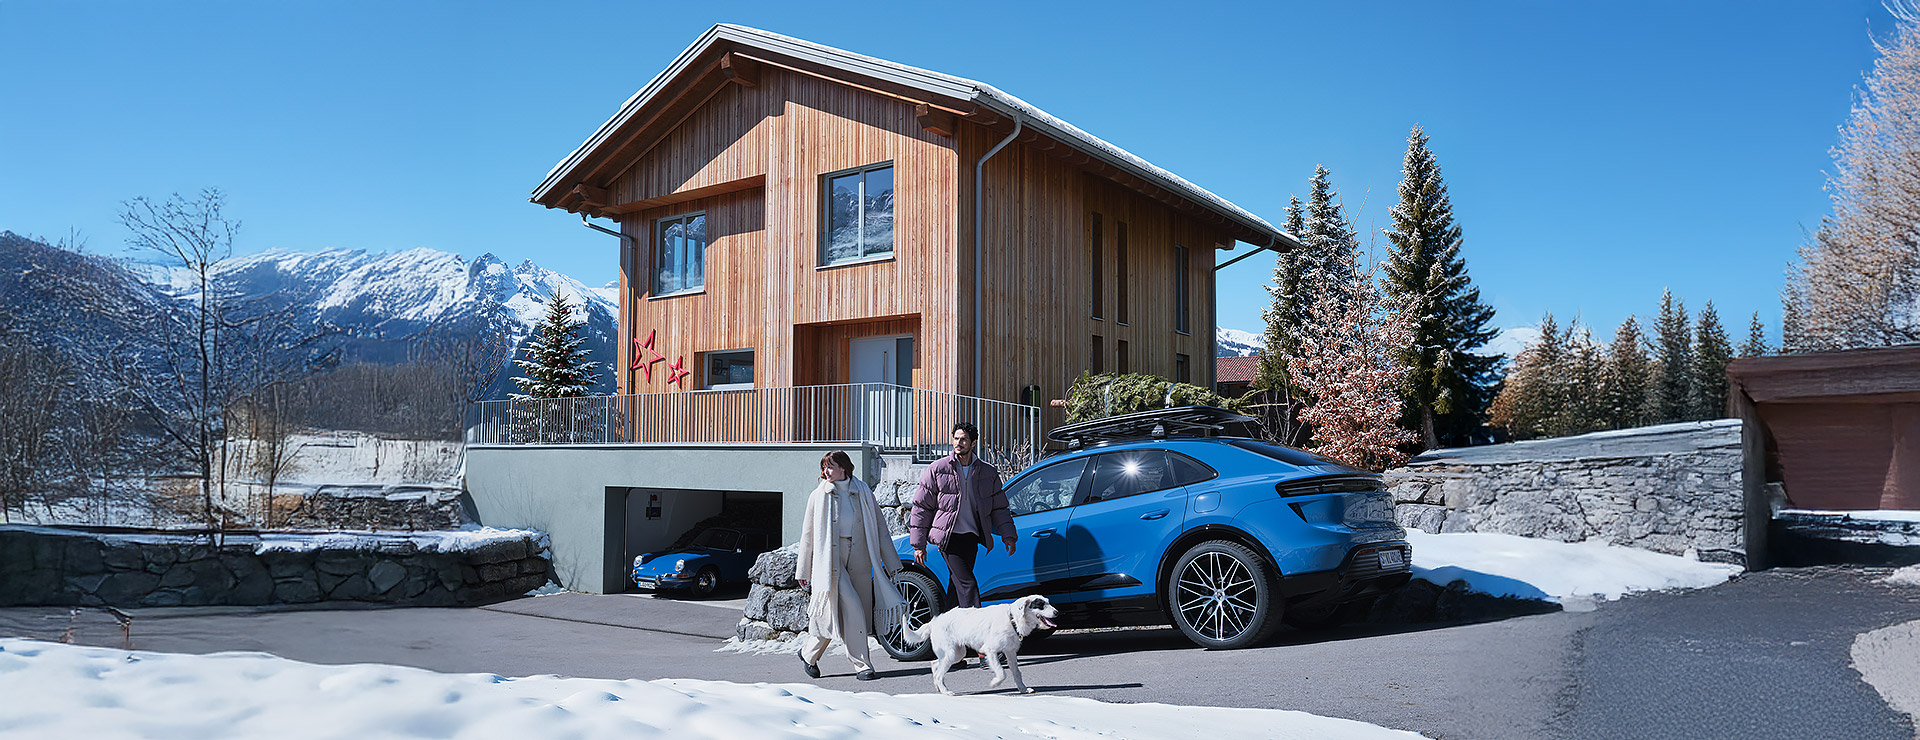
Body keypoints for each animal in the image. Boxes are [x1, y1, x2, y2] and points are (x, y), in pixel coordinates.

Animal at [898, 594, 1058, 695]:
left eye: (1048, 602)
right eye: (1040, 605)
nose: (1057, 612)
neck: (1012, 618)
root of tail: (933, 622)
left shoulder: (1010, 653)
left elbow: (1017, 673)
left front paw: (1023, 689)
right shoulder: (990, 651)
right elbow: (1002, 673)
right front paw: (994, 683)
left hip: (957, 654)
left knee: (934, 664)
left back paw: (938, 687)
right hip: (951, 653)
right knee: (938, 673)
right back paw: (946, 691)